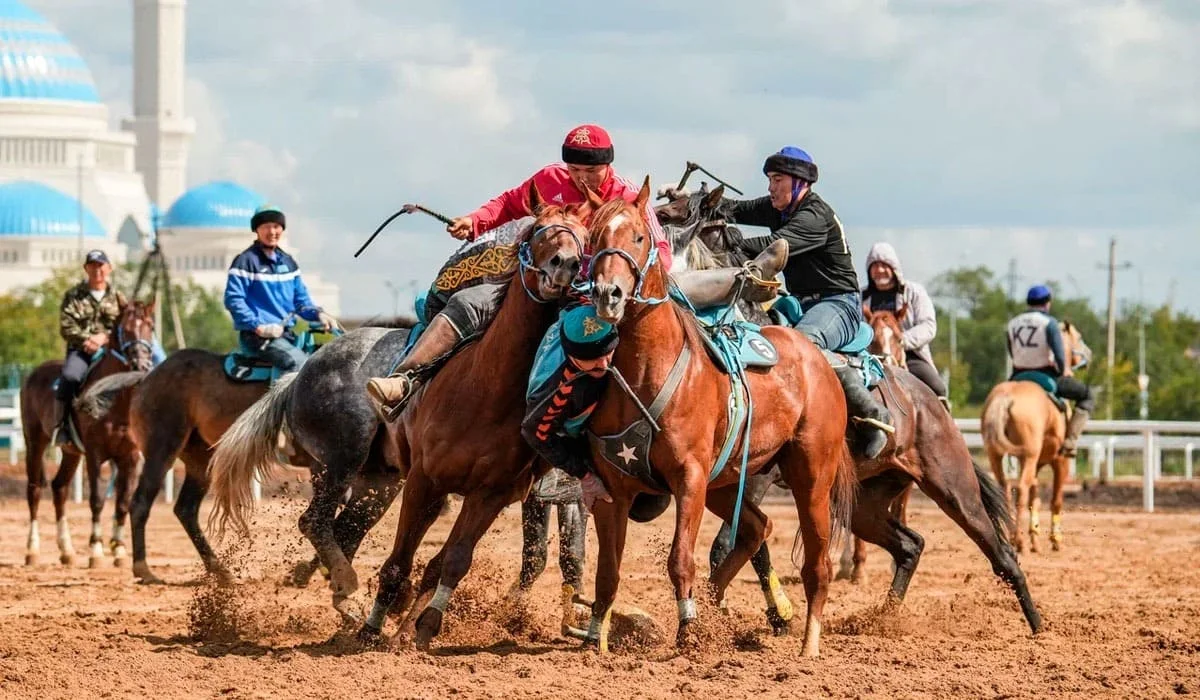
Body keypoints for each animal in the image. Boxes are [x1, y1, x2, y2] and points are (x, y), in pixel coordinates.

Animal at [19, 301, 157, 569]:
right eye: (125, 329)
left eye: (151, 327)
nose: (142, 365)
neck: (115, 400)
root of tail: (33, 374)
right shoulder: (95, 455)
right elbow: (97, 499)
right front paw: (96, 550)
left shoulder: (131, 458)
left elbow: (123, 503)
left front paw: (120, 551)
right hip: (35, 443)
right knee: (34, 491)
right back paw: (32, 551)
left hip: (71, 453)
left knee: (59, 488)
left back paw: (67, 551)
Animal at [585, 177, 859, 657]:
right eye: (596, 237)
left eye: (638, 237)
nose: (608, 294)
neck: (650, 367)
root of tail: (818, 359)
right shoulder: (613, 488)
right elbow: (607, 572)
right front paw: (595, 639)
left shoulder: (690, 479)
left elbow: (680, 559)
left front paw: (688, 632)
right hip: (729, 483)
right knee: (757, 528)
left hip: (810, 477)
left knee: (818, 565)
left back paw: (808, 646)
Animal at [662, 184, 1046, 633]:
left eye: (674, 213)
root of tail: (930, 404)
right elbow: (745, 546)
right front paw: (770, 615)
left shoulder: (755, 478)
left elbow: (729, 544)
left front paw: (762, 614)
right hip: (867, 504)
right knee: (911, 545)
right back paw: (884, 618)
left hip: (954, 489)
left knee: (1002, 556)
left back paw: (1038, 629)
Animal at [979, 319, 1094, 557]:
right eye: (1078, 337)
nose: (1088, 354)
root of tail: (1005, 398)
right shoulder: (1060, 462)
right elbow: (1055, 500)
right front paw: (1055, 540)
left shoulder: (1037, 464)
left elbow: (1036, 498)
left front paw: (1036, 539)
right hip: (1030, 456)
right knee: (1021, 490)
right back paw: (1019, 541)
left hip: (997, 455)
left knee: (1005, 488)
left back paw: (1013, 537)